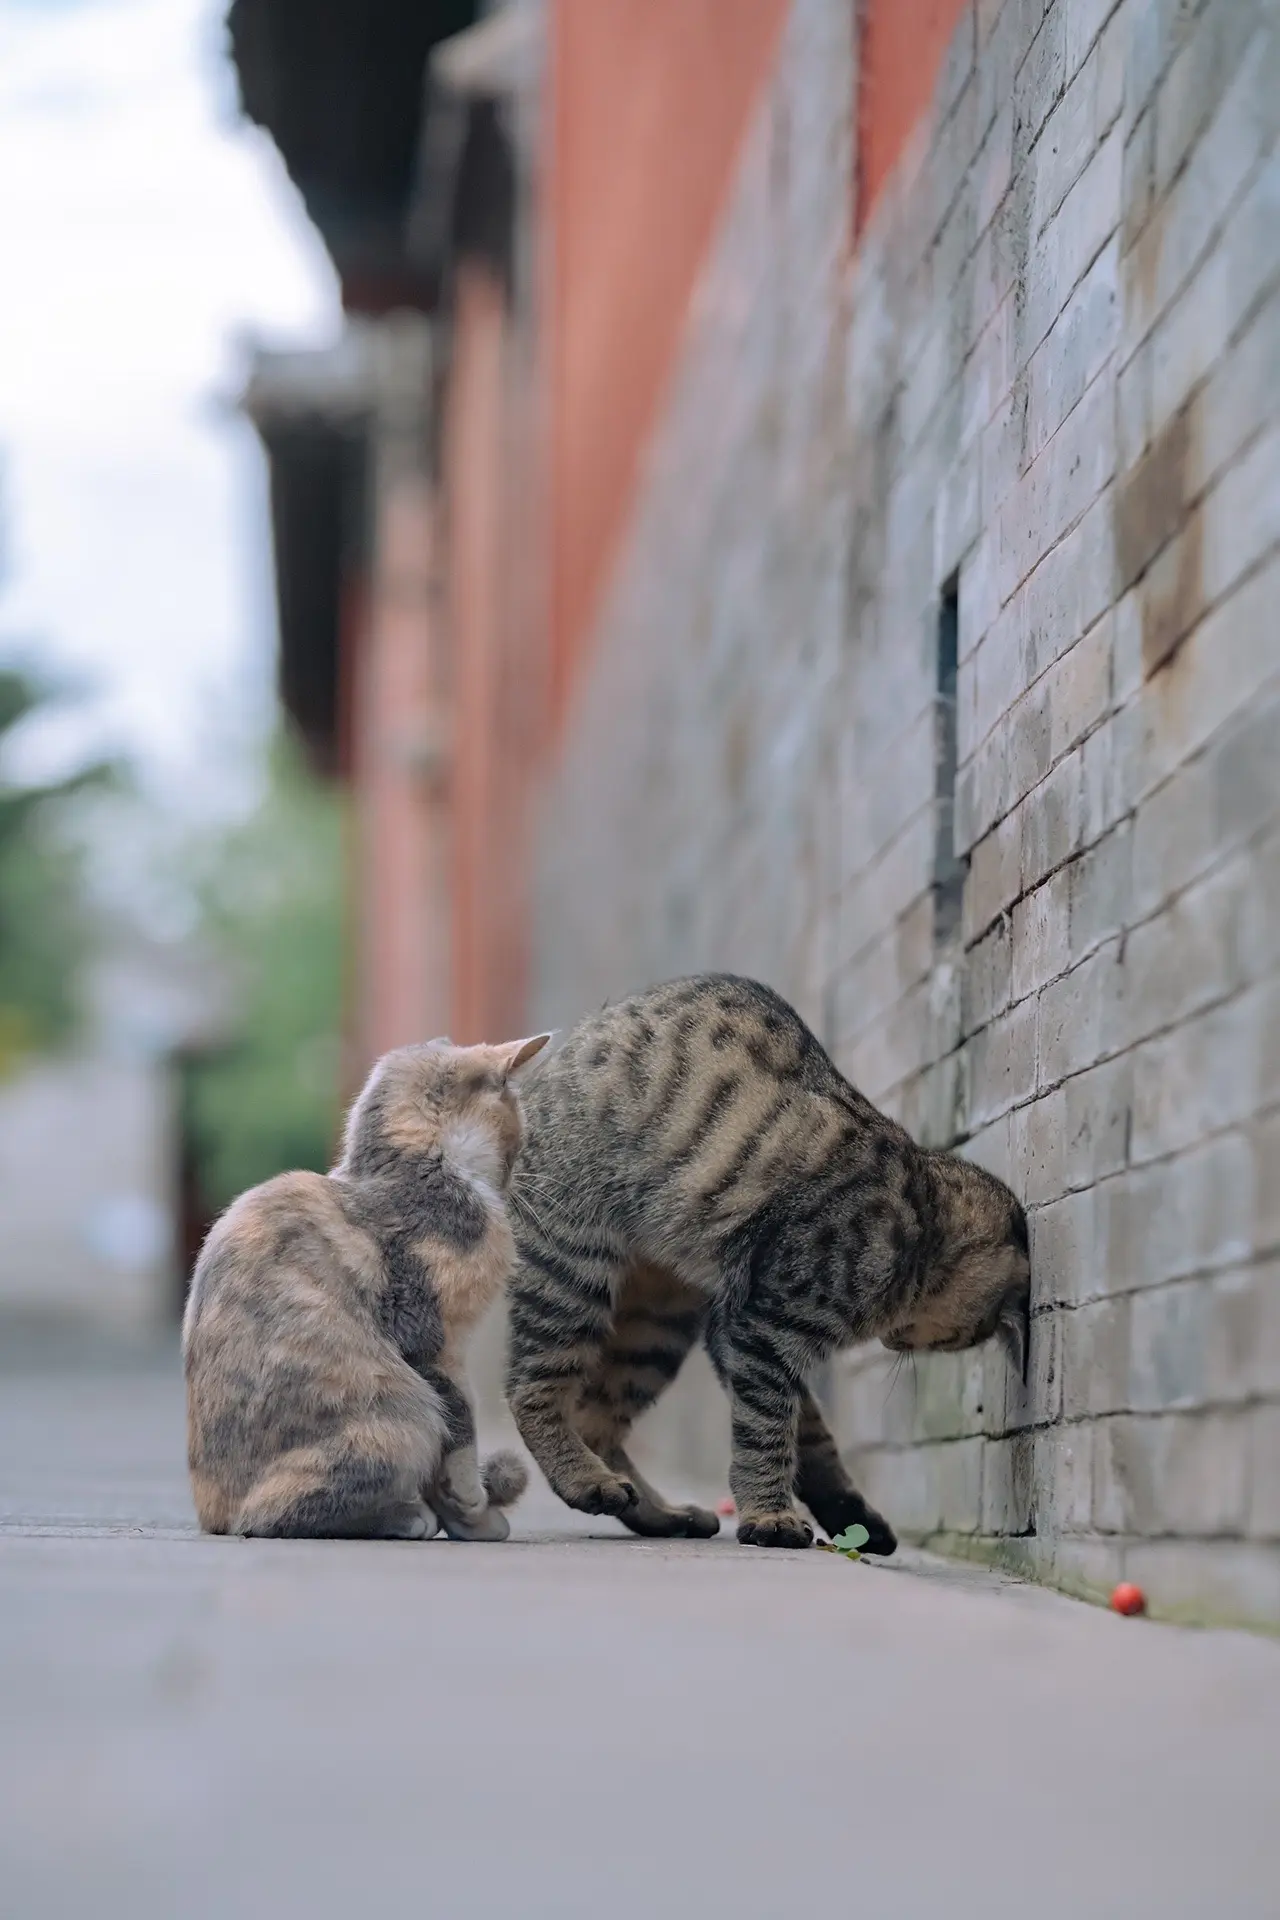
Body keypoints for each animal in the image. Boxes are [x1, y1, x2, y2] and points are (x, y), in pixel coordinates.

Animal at [182, 1036, 548, 1543]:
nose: (516, 1173)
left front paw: (464, 1518)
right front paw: (472, 1510)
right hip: (404, 1409)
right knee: (266, 1517)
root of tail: (212, 1518)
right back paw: (405, 1516)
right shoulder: (434, 1344)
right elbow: (461, 1431)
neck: (421, 1174)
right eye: (519, 1132)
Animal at [502, 983, 1028, 1551]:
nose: (897, 1342)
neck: (921, 1218)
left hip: (659, 1323)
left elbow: (812, 1435)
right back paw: (586, 1481)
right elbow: (769, 1429)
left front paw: (850, 1516)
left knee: (596, 1418)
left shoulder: (739, 1331)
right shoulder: (761, 1328)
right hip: (572, 1271)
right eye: (967, 1337)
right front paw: (771, 1516)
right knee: (531, 1391)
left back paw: (662, 1512)